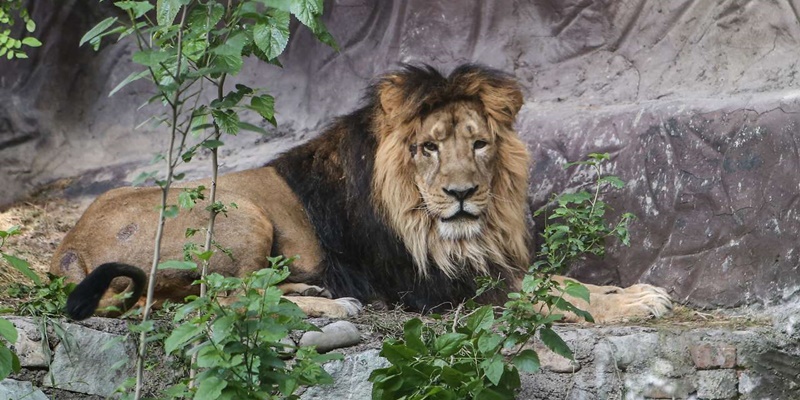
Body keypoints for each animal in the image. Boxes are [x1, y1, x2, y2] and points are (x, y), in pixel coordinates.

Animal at [53, 64, 672, 324]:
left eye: (479, 144)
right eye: (427, 147)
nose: (462, 193)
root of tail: (70, 244)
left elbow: (560, 281)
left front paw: (636, 291)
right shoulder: (431, 286)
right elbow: (550, 294)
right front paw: (634, 303)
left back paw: (320, 295)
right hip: (240, 212)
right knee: (214, 301)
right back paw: (334, 303)